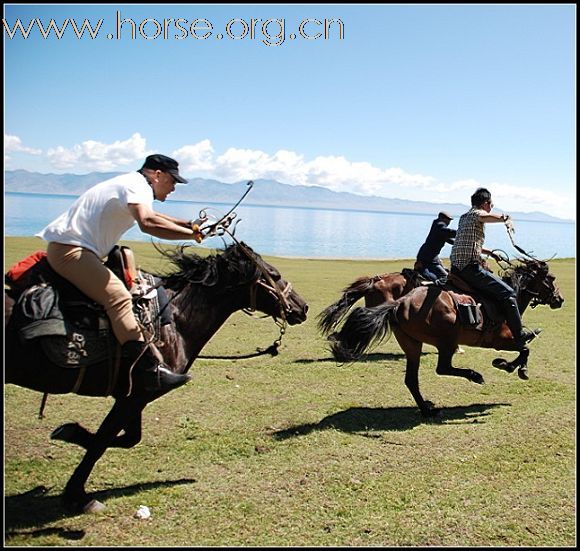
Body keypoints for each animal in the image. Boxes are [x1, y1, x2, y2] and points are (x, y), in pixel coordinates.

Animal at [4, 244, 310, 516]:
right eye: (274, 274)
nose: (303, 307)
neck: (175, 321)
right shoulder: (135, 395)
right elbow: (102, 442)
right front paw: (76, 495)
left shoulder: (133, 395)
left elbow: (127, 438)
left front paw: (69, 433)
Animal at [322, 258, 560, 418]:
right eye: (551, 279)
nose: (560, 299)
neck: (507, 301)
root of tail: (399, 303)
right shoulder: (502, 340)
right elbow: (525, 348)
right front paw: (510, 366)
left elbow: (525, 349)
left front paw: (510, 366)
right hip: (447, 340)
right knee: (442, 368)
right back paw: (474, 376)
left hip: (412, 344)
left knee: (411, 379)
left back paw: (427, 409)